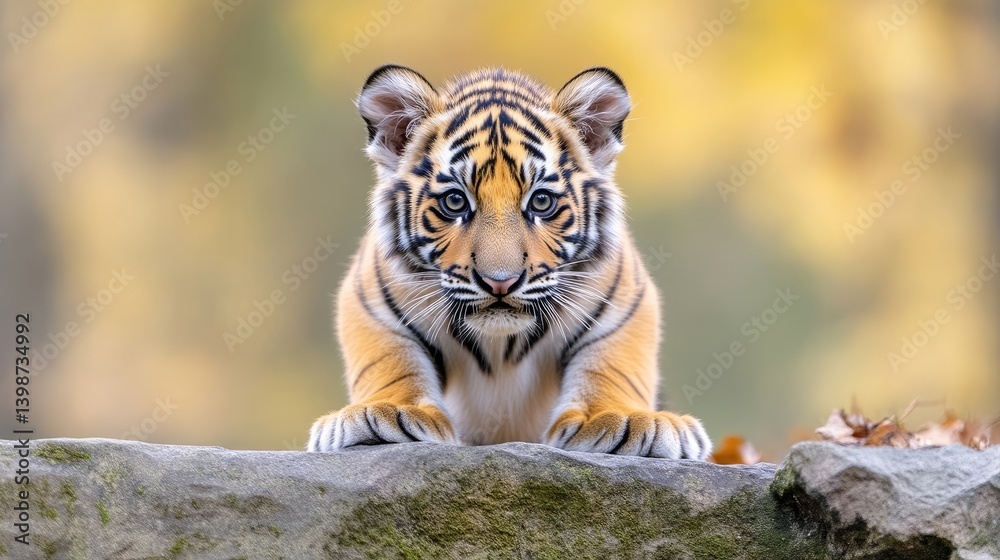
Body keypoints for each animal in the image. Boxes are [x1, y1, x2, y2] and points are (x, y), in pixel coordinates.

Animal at [307, 65, 711, 460]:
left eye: (542, 202)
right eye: (455, 202)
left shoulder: (624, 301)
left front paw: (623, 418)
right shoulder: (370, 300)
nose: (500, 281)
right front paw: (388, 410)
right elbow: (390, 360)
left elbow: (612, 365)